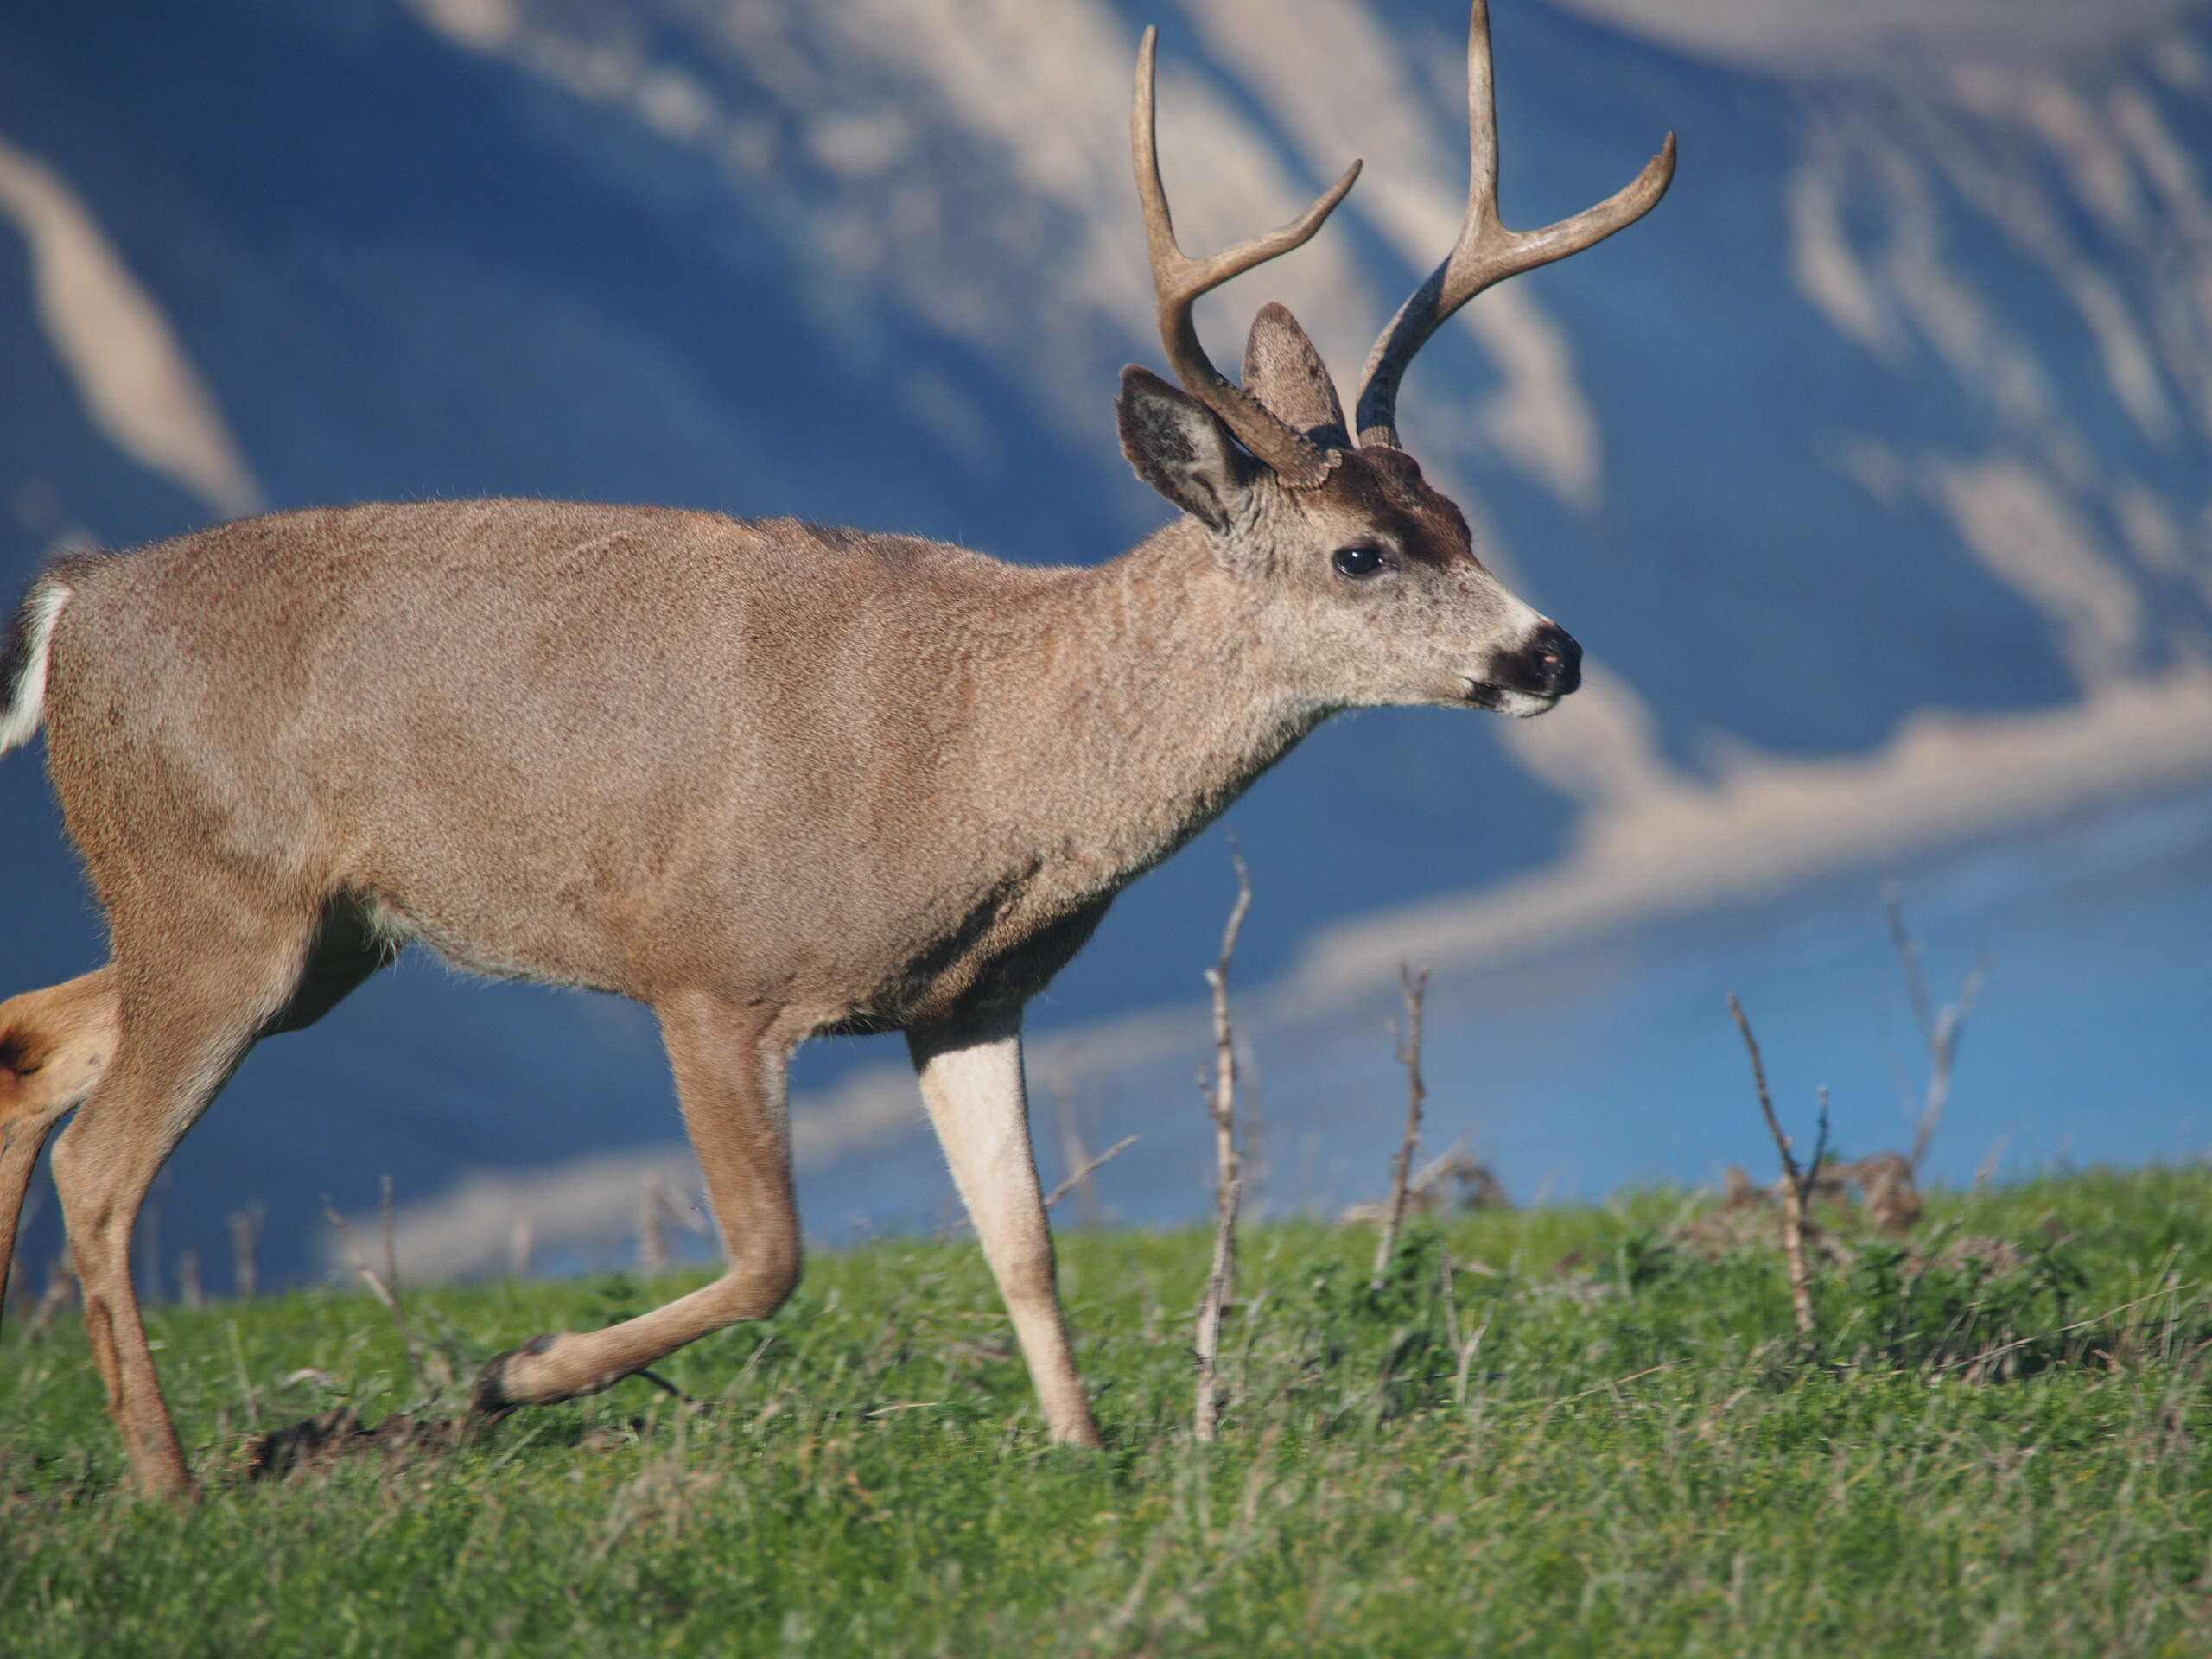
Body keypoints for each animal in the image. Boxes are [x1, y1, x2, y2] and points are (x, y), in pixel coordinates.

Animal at [0, 0, 1663, 1503]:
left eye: (1456, 511)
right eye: (1359, 555)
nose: (1552, 652)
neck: (986, 755)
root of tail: (76, 603)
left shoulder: (966, 998)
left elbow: (1025, 1242)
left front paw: (1084, 1457)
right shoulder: (708, 966)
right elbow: (773, 1255)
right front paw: (514, 1375)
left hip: (313, 936)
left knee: (33, 1045)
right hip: (222, 901)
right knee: (103, 1165)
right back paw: (172, 1485)